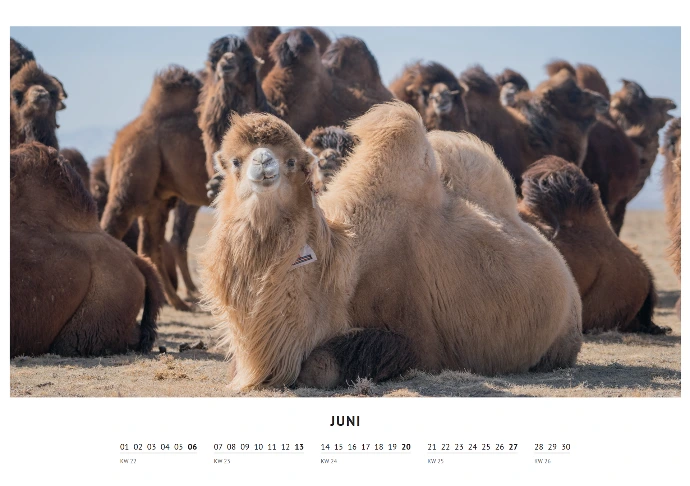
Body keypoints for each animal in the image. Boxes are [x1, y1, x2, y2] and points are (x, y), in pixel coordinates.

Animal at [101, 65, 209, 311]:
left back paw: (177, 301)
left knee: (151, 245)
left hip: (156, 200)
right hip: (133, 178)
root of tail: (116, 144)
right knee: (113, 228)